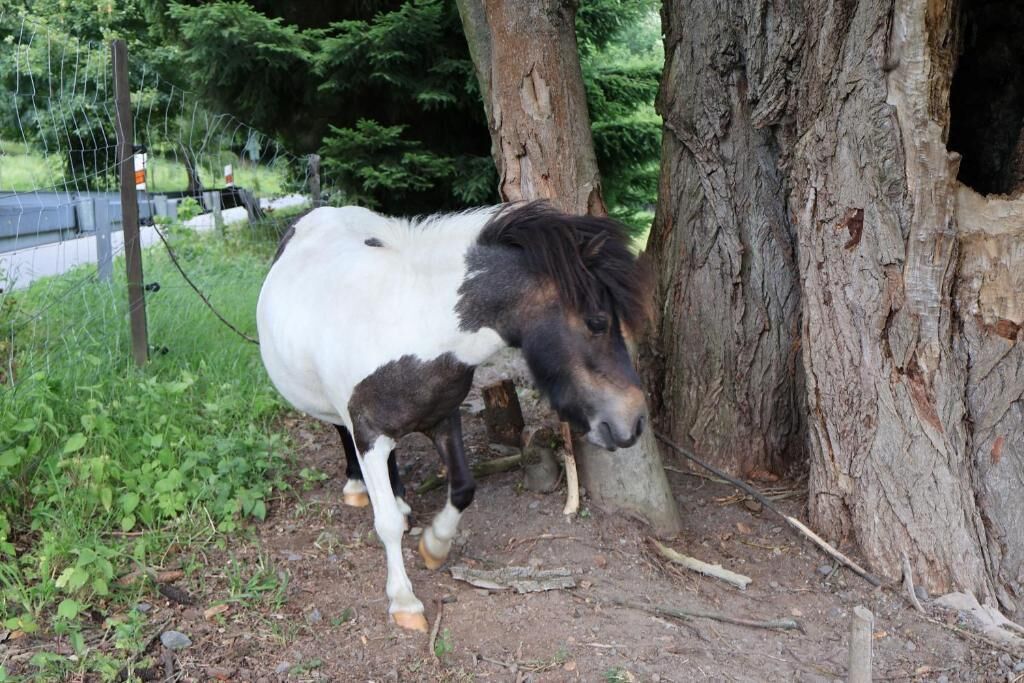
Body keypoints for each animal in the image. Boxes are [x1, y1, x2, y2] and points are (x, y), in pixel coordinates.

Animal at [256, 201, 650, 631]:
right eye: (597, 321)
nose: (635, 421)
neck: (412, 326)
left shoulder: (444, 418)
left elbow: (462, 488)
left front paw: (434, 545)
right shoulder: (369, 435)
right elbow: (386, 522)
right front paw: (404, 601)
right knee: (341, 431)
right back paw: (358, 488)